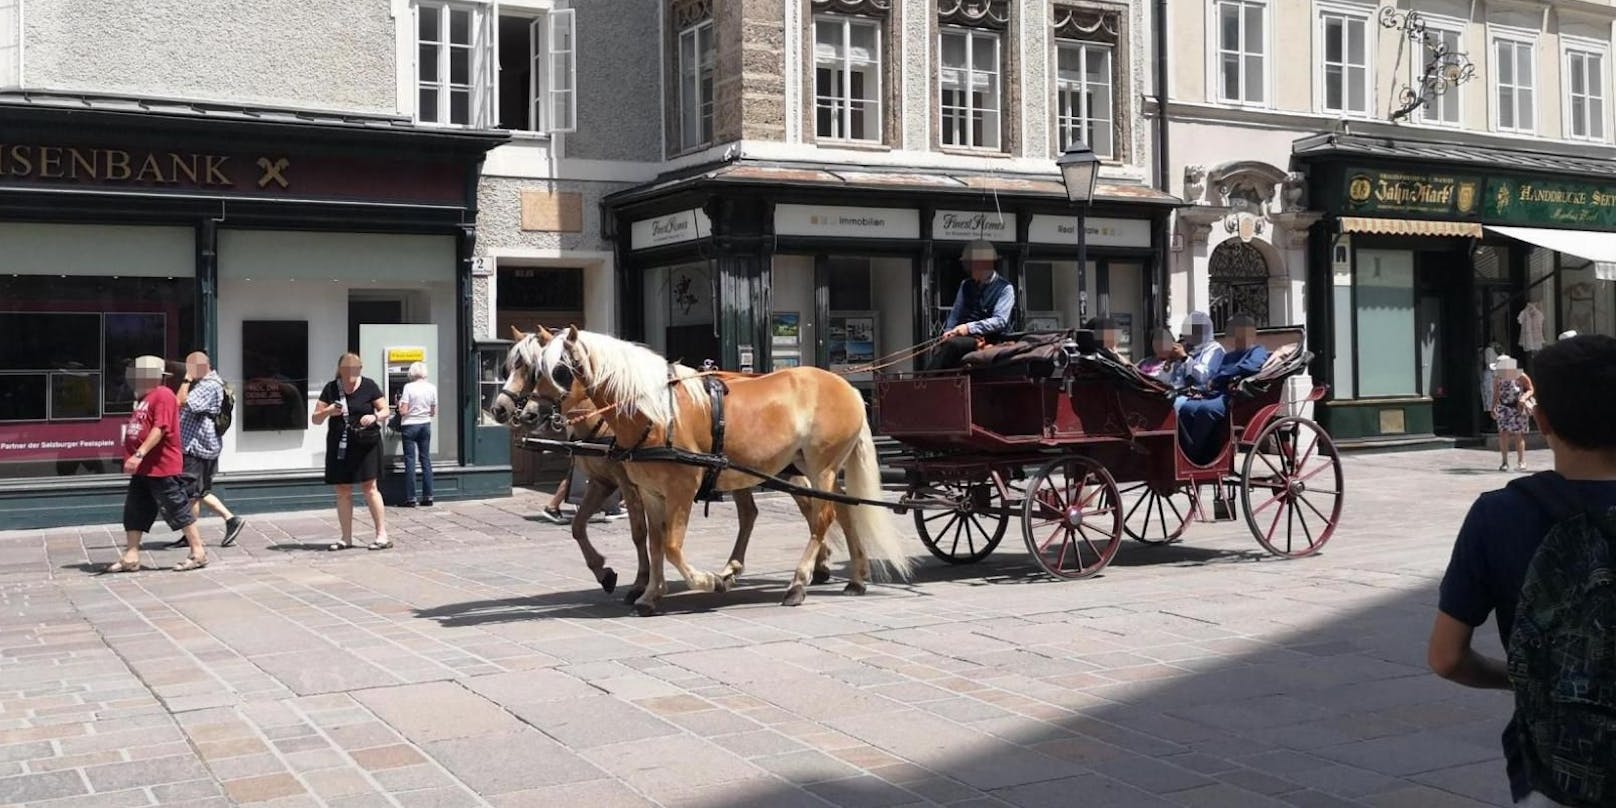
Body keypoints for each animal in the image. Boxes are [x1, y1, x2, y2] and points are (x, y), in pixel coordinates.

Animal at [484, 328, 827, 607]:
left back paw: (812, 569)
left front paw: (639, 583)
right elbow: (580, 526)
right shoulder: (603, 481)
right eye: (509, 368)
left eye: (541, 369)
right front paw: (605, 573)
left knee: (810, 509)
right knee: (761, 513)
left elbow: (640, 532)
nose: (503, 409)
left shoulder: (628, 483)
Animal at [542, 324, 917, 614]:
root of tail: (847, 386)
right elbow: (656, 543)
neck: (656, 413)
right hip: (808, 466)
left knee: (822, 518)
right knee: (841, 510)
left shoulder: (682, 489)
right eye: (537, 369)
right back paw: (856, 577)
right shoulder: (650, 492)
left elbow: (672, 546)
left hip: (820, 464)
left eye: (560, 370)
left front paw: (708, 581)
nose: (536, 415)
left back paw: (798, 583)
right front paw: (650, 594)